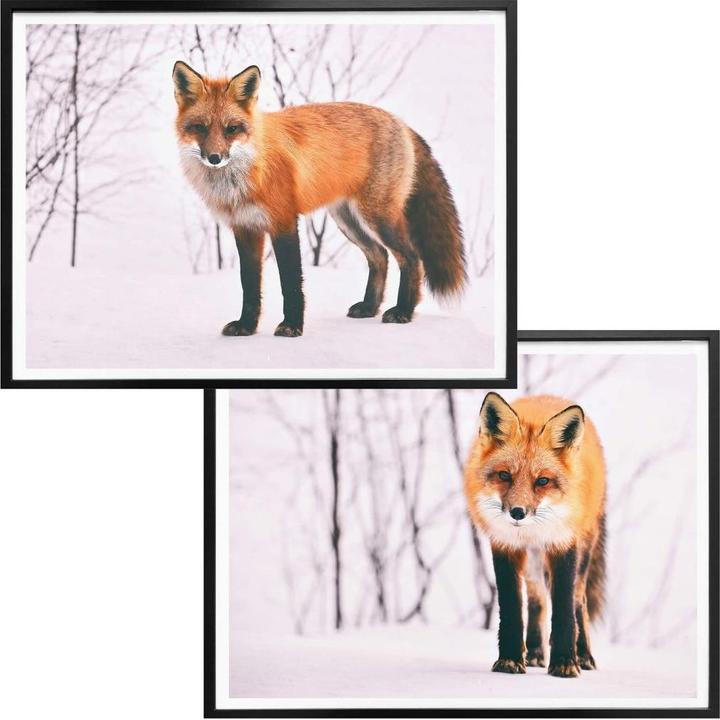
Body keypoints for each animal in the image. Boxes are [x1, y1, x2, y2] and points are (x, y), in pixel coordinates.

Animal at [172, 61, 466, 338]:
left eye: (231, 129)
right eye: (200, 128)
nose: (214, 158)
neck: (245, 174)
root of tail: (400, 122)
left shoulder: (284, 222)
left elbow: (291, 283)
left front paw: (292, 326)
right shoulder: (245, 228)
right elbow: (250, 286)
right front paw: (247, 326)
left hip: (378, 217)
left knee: (412, 257)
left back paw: (404, 310)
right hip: (348, 220)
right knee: (379, 256)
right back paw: (370, 307)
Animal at [464, 392, 607, 678]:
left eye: (542, 481)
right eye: (504, 475)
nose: (518, 512)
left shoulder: (563, 543)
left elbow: (564, 608)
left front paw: (564, 662)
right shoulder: (505, 545)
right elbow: (511, 607)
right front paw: (509, 660)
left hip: (584, 549)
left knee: (579, 600)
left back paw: (583, 655)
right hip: (532, 562)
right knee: (537, 600)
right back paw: (535, 653)